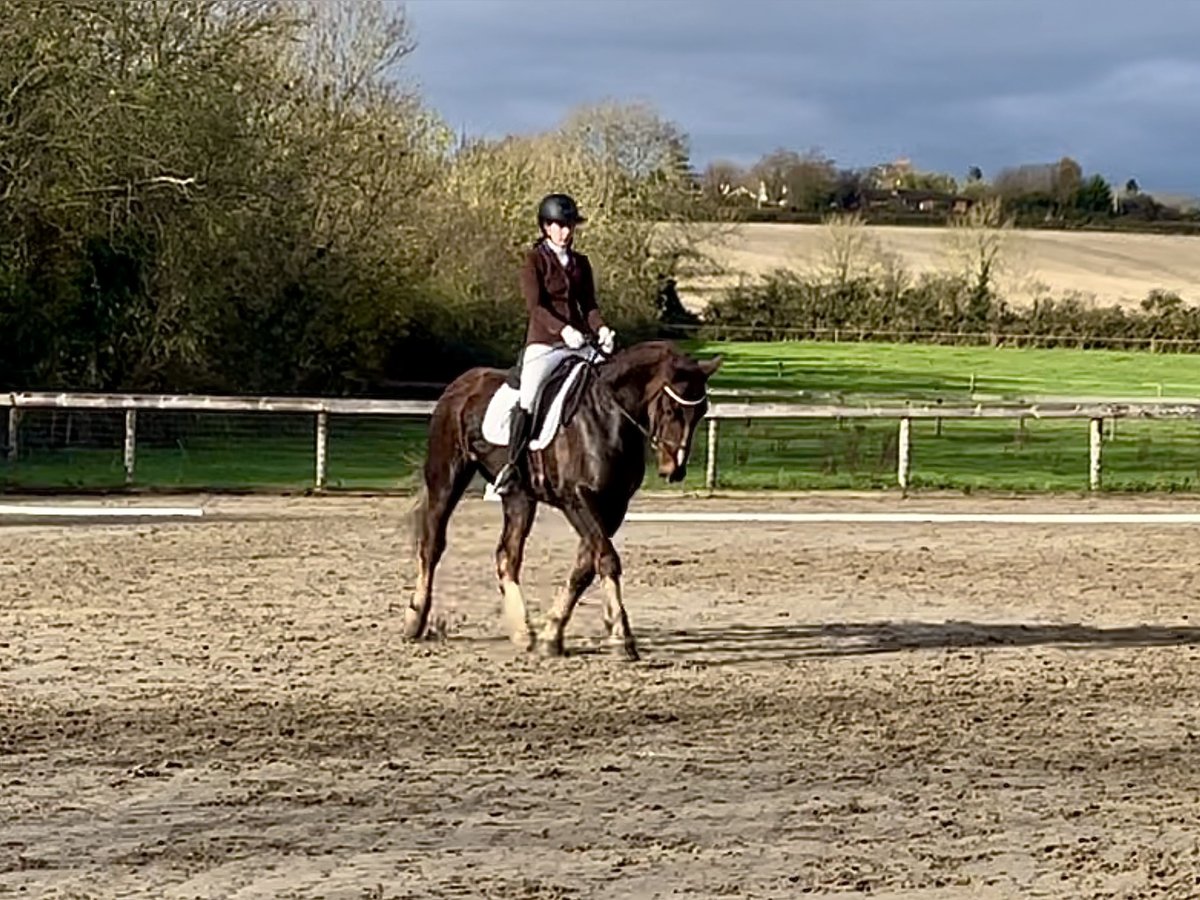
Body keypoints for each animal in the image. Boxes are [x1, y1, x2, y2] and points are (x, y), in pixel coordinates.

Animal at [403, 340, 720, 662]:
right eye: (670, 408)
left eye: (701, 411)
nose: (674, 470)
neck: (607, 417)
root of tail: (461, 384)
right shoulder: (577, 499)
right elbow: (606, 559)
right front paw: (621, 637)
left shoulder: (614, 506)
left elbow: (585, 567)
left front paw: (551, 635)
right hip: (447, 477)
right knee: (432, 544)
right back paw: (415, 620)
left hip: (519, 497)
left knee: (507, 555)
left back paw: (523, 631)